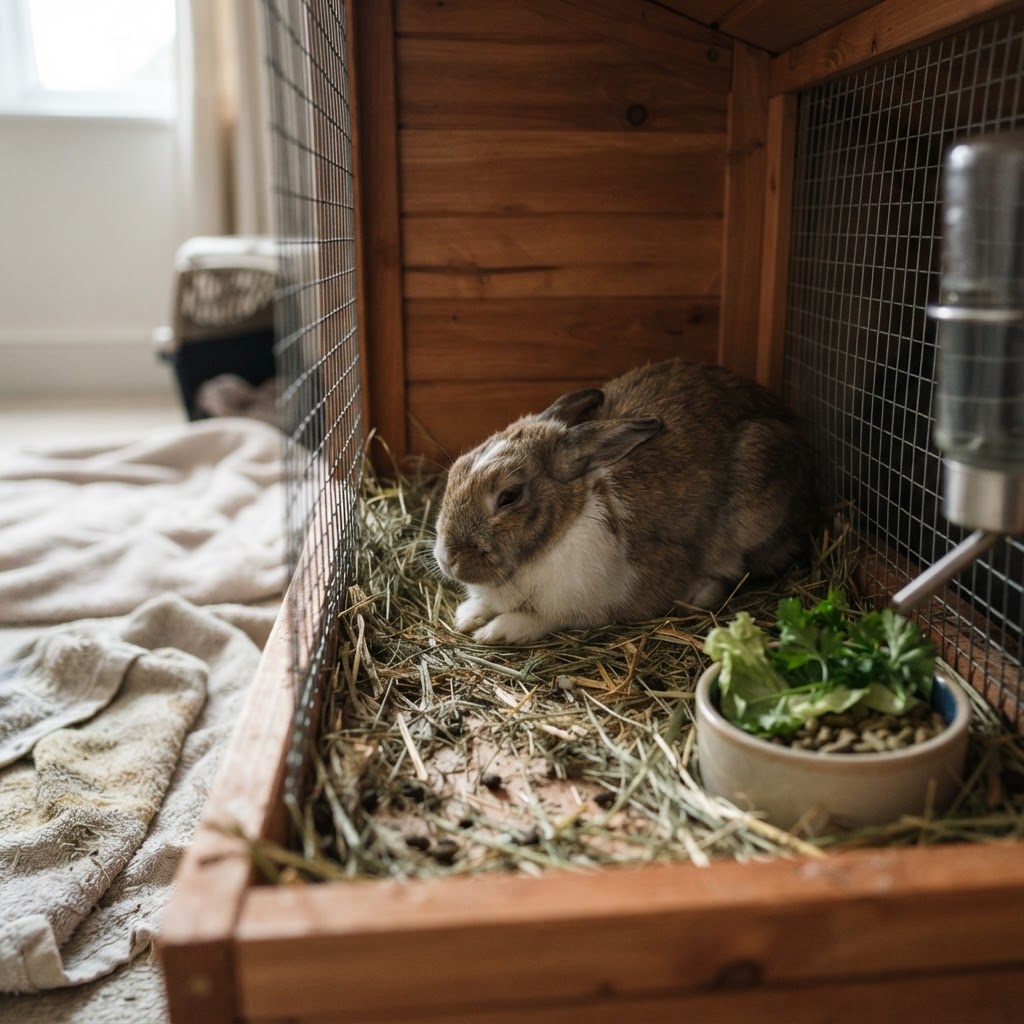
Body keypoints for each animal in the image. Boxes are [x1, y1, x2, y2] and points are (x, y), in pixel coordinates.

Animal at [433, 358, 818, 645]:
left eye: (509, 496)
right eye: (457, 468)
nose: (448, 559)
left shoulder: (583, 607)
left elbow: (536, 620)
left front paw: (493, 632)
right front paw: (468, 615)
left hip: (756, 501)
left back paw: (699, 593)